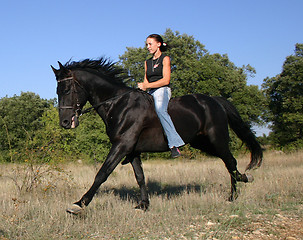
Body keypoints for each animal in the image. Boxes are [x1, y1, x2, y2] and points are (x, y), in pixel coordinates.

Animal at [51, 57, 262, 214]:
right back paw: (242, 182)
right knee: (230, 162)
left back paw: (234, 194)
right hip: (202, 143)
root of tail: (215, 101)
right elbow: (140, 177)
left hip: (217, 139)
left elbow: (102, 173)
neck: (119, 105)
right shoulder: (132, 150)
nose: (64, 122)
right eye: (57, 91)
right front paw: (144, 205)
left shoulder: (122, 145)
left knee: (230, 161)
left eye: (67, 90)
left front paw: (79, 204)